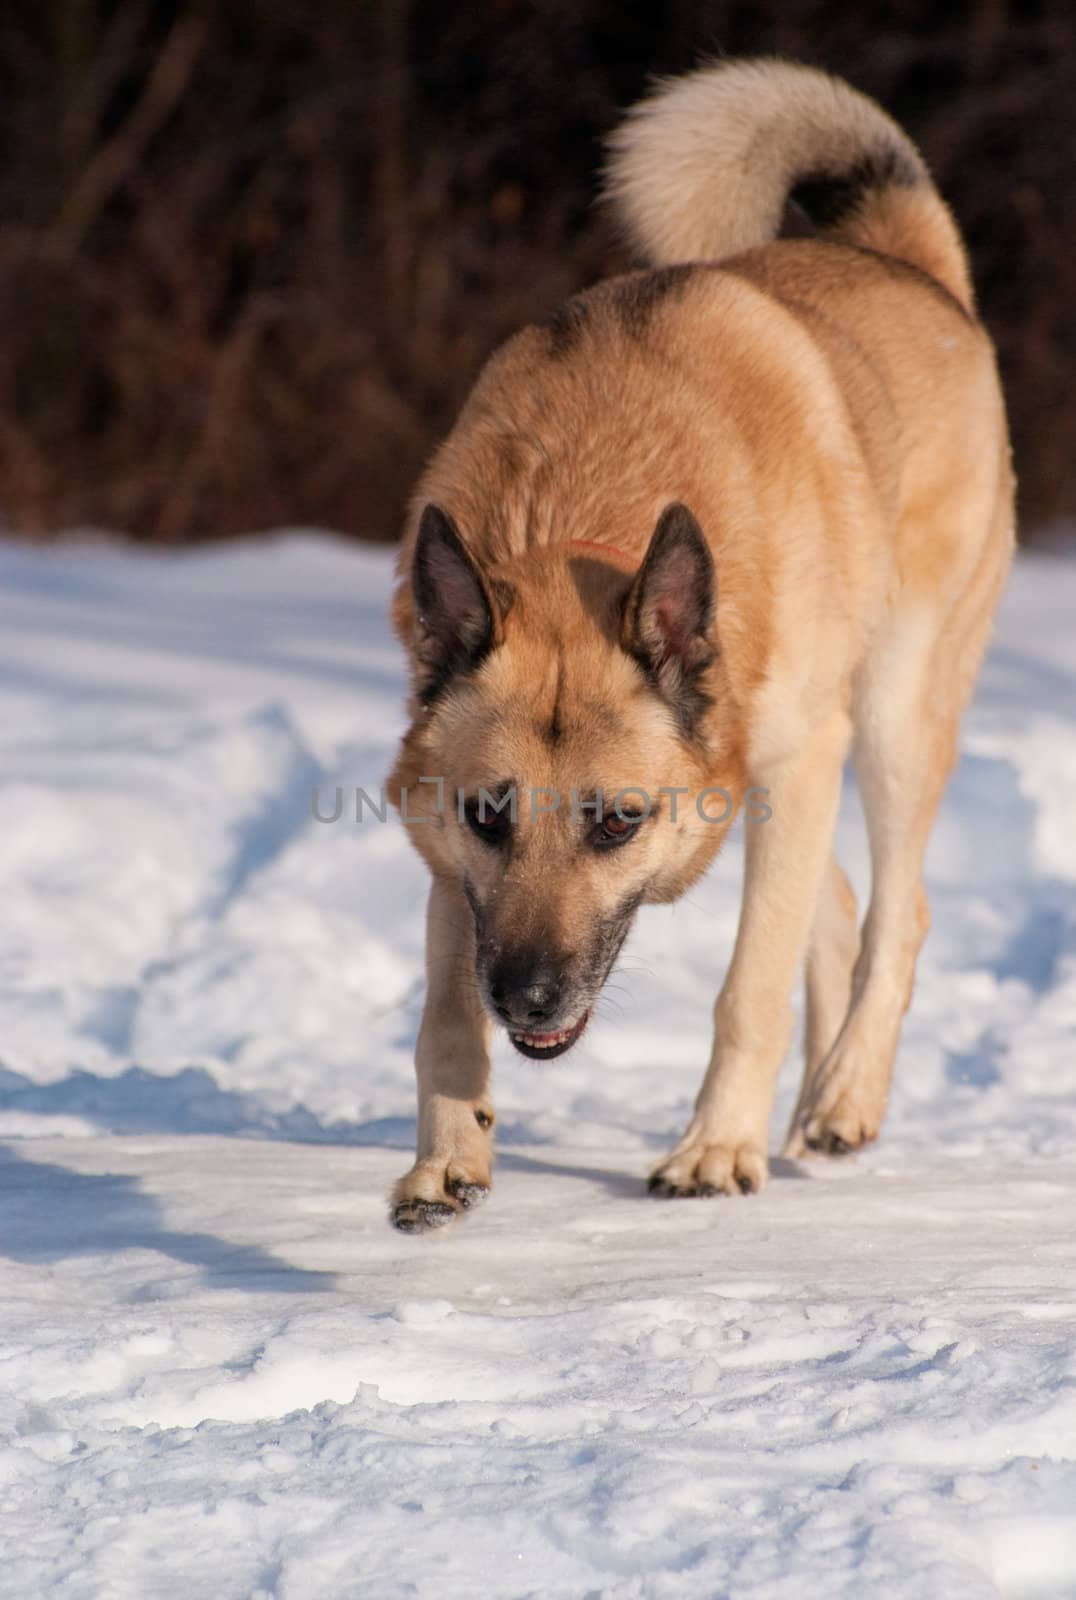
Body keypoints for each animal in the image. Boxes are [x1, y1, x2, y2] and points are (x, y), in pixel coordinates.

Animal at [382, 56, 1011, 1228]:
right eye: (489, 816)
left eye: (618, 821)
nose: (529, 999)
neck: (579, 529)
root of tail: (905, 263)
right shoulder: (450, 850)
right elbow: (442, 1011)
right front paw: (447, 1158)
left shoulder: (799, 756)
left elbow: (747, 988)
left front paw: (716, 1150)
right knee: (840, 905)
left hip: (889, 716)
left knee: (895, 912)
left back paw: (844, 1096)